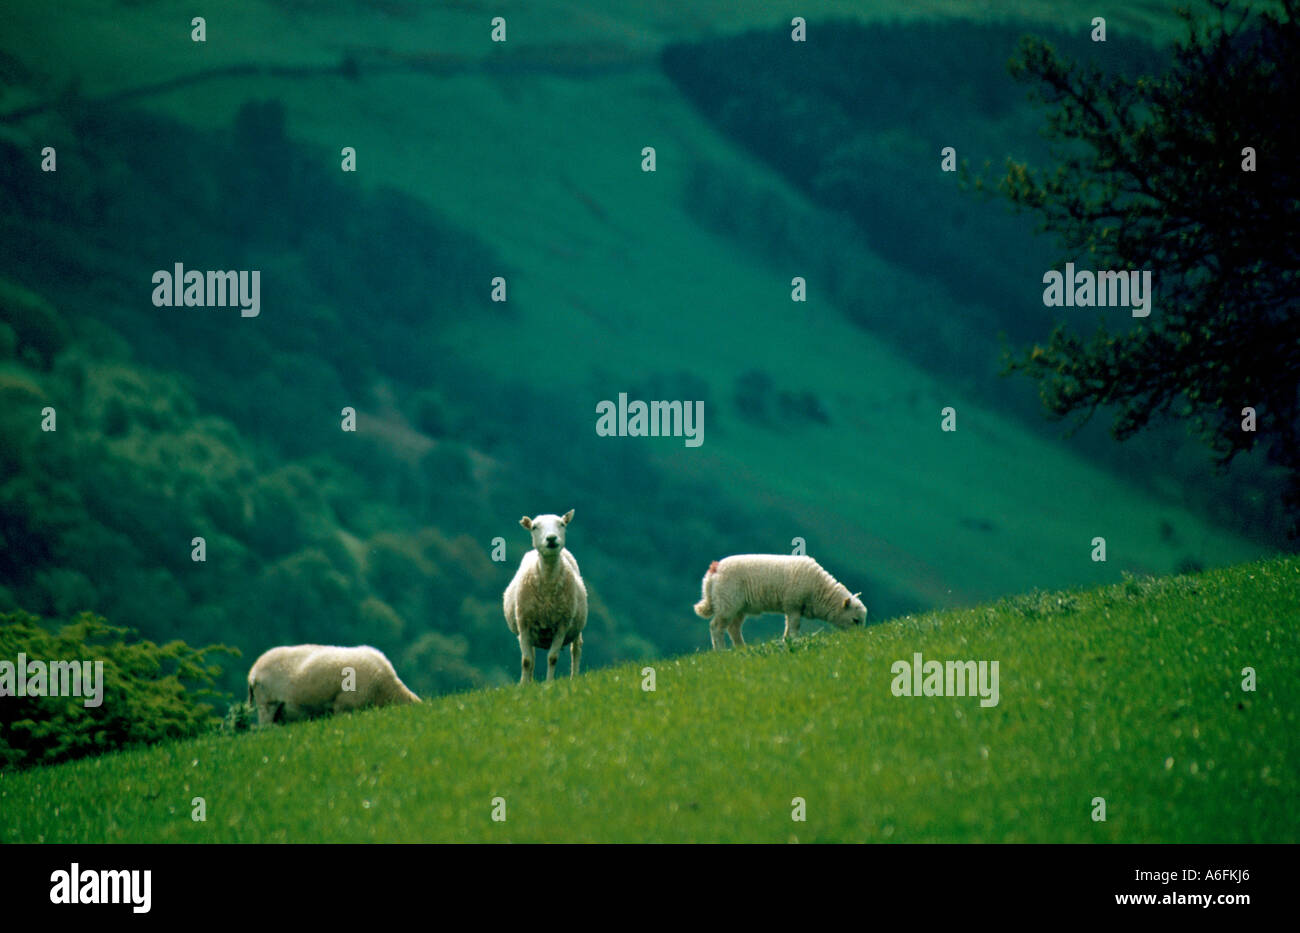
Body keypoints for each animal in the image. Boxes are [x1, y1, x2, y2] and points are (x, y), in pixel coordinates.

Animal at [502, 509, 587, 683]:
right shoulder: (524, 623)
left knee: (576, 649)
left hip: (576, 626)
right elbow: (526, 660)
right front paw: (524, 685)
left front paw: (549, 684)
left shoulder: (562, 624)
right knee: (532, 657)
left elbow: (552, 658)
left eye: (562, 524)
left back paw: (574, 677)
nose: (551, 538)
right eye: (534, 527)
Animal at [693, 554, 867, 649]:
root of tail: (714, 569)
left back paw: (741, 648)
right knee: (716, 627)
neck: (820, 591)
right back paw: (721, 650)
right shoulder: (793, 605)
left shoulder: (791, 607)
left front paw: (787, 641)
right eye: (855, 620)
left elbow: (789, 628)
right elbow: (794, 627)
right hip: (727, 603)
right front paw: (795, 641)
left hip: (738, 607)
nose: (859, 639)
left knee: (733, 629)